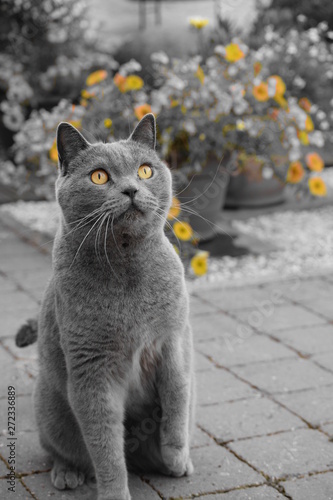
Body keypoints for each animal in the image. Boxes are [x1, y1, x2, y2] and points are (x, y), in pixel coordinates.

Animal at [29, 114, 195, 500]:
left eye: (145, 170)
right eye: (100, 177)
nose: (131, 189)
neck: (128, 269)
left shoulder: (174, 340)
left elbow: (177, 397)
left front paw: (176, 456)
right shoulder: (91, 368)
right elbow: (104, 444)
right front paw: (114, 491)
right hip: (51, 405)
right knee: (61, 448)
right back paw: (68, 474)